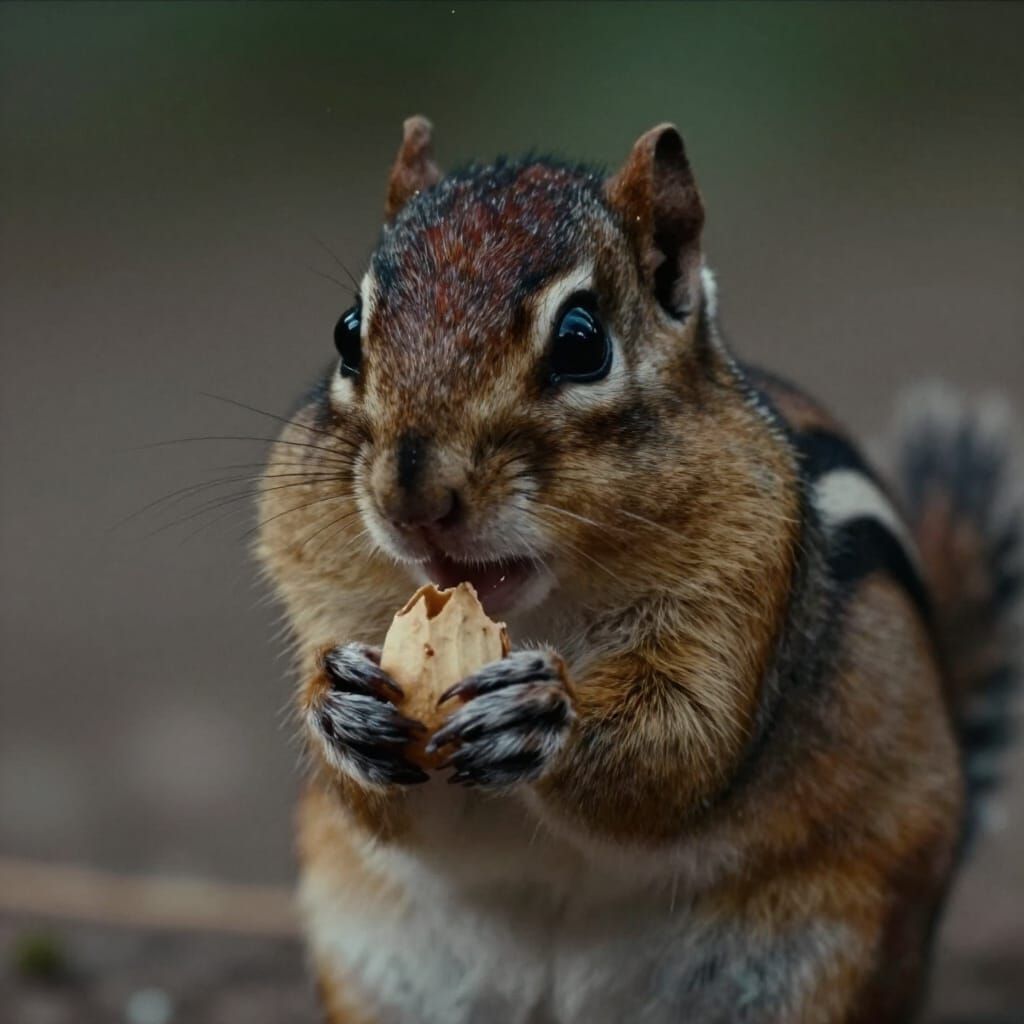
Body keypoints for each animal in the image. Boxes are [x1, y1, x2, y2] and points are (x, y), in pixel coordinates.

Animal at [256, 116, 1022, 1023]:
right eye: (348, 332)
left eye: (582, 342)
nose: (412, 493)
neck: (536, 607)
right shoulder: (322, 586)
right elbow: (389, 810)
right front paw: (342, 705)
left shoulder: (742, 581)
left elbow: (681, 745)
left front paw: (543, 712)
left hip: (829, 945)